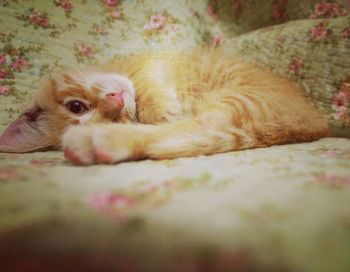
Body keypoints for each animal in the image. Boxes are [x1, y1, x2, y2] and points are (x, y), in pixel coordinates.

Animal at [0, 49, 328, 165]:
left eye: (76, 106)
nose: (116, 101)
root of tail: (315, 123)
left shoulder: (153, 65)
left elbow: (151, 89)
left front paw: (158, 105)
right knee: (187, 129)